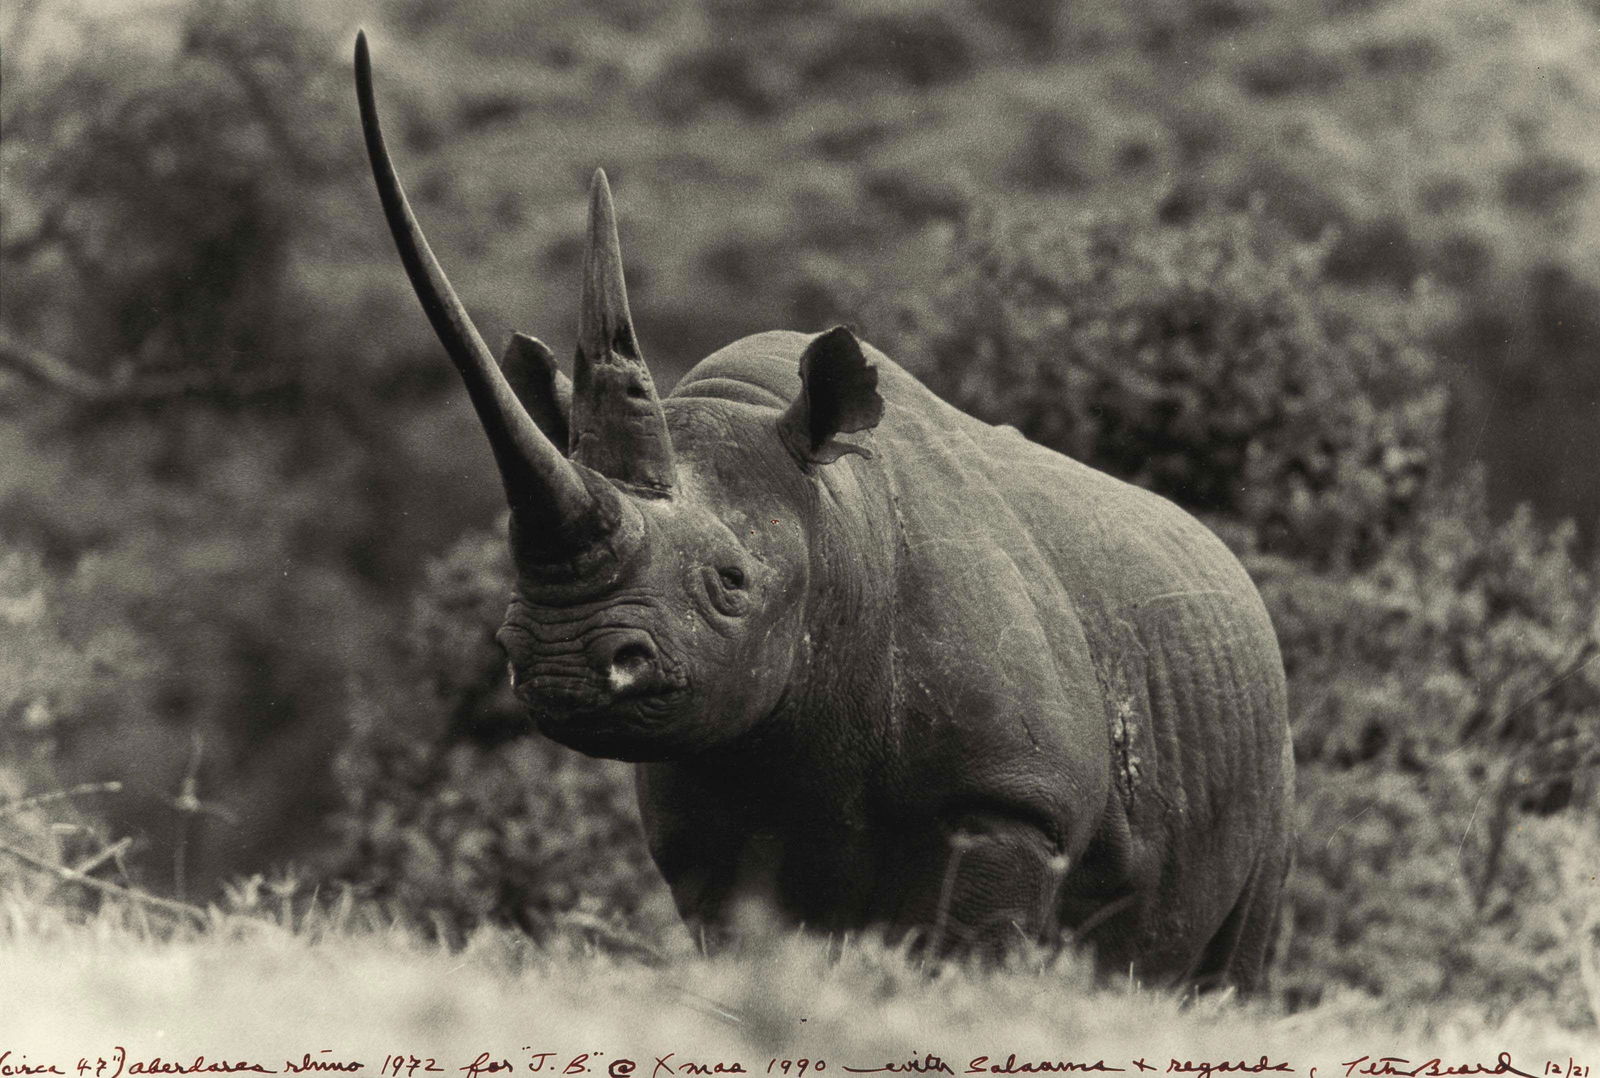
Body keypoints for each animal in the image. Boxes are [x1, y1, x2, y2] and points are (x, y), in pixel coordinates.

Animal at [354, 33, 1294, 992]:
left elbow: (965, 953)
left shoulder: (1010, 805)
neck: (833, 524)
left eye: (731, 581)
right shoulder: (705, 829)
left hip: (1270, 742)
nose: (558, 660)